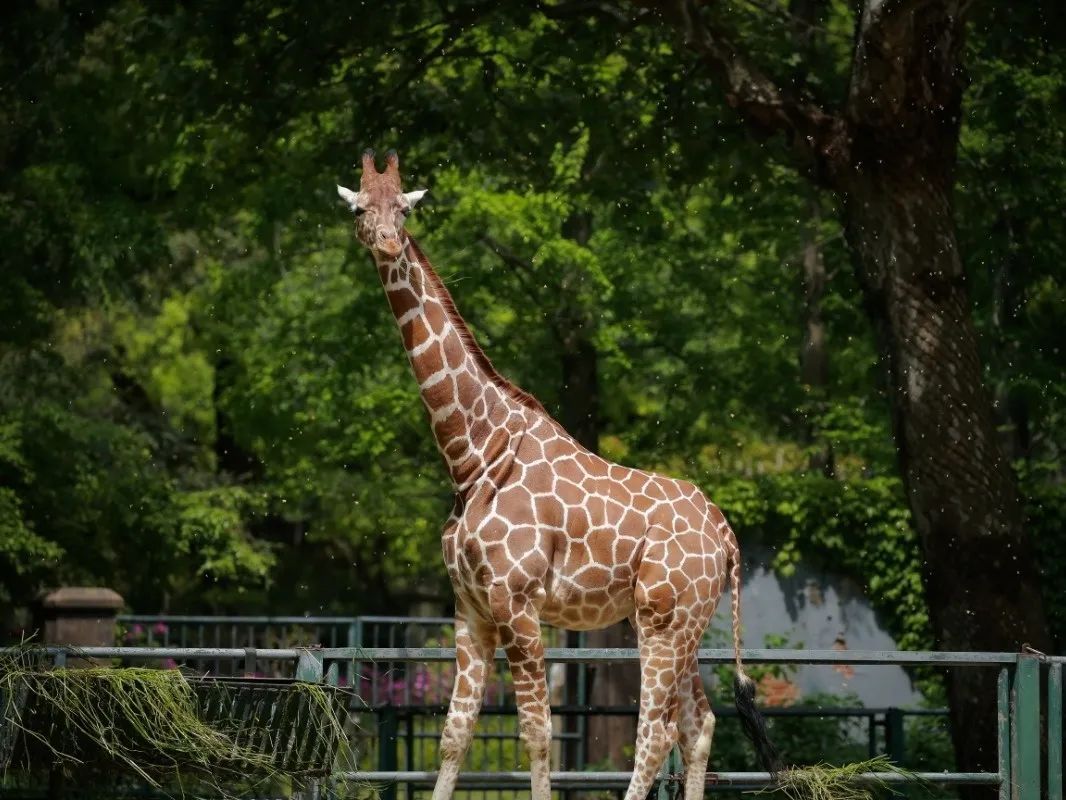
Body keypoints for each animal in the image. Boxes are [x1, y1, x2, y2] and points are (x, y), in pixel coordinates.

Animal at [337, 149, 783, 800]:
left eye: (405, 208)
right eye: (361, 209)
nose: (390, 243)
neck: (473, 453)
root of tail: (726, 536)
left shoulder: (516, 602)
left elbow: (537, 731)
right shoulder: (470, 608)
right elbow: (454, 733)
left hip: (662, 621)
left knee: (654, 732)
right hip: (685, 624)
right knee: (698, 724)